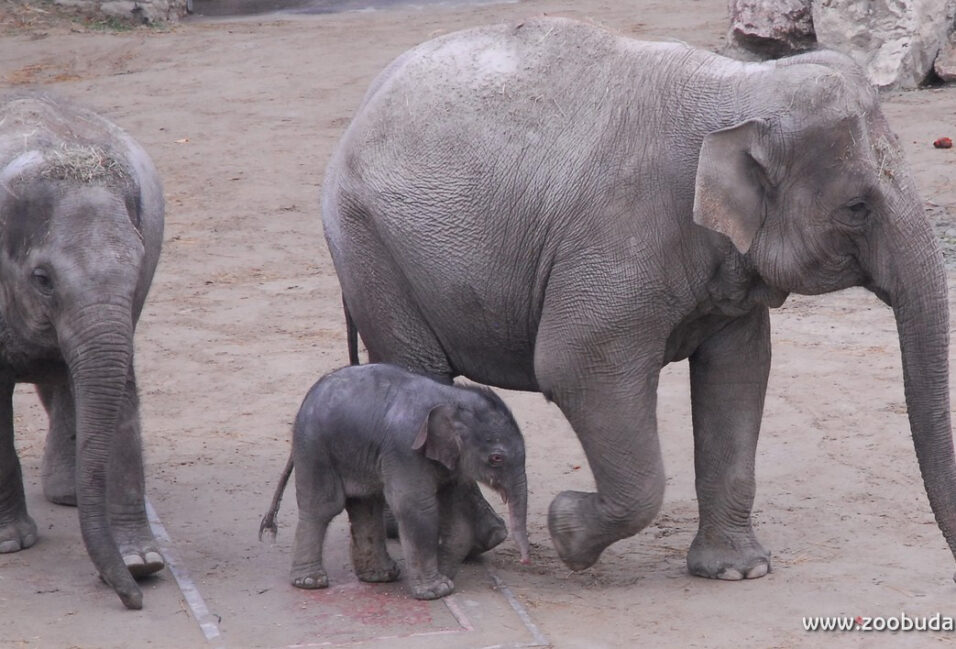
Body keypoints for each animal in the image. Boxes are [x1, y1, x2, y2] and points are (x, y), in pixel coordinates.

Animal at [0, 93, 163, 612]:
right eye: (42, 279)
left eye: (138, 268)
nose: (134, 600)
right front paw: (12, 543)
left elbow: (121, 395)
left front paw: (143, 561)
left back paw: (68, 494)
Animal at [260, 362, 532, 600]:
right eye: (496, 458)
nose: (524, 560)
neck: (451, 396)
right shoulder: (405, 449)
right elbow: (415, 508)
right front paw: (437, 591)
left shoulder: (450, 461)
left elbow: (457, 513)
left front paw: (445, 576)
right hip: (314, 448)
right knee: (323, 507)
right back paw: (311, 582)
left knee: (366, 505)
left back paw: (380, 576)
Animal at [324, 17, 956, 580]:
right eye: (857, 208)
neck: (741, 89)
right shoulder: (618, 238)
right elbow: (576, 366)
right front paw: (567, 533)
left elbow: (740, 371)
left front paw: (738, 572)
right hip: (371, 247)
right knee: (421, 372)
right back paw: (475, 541)